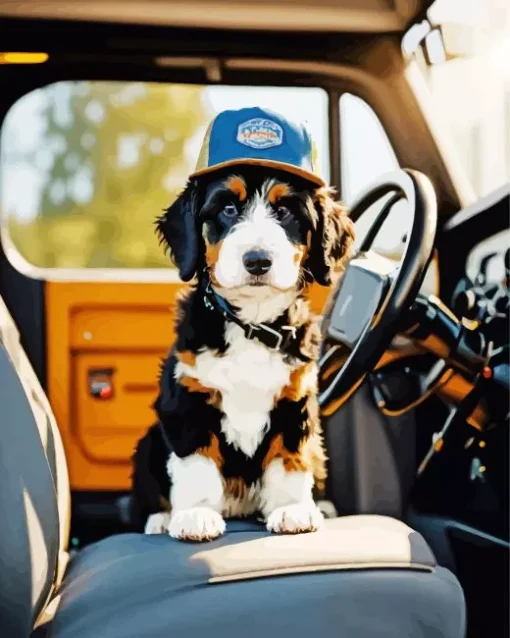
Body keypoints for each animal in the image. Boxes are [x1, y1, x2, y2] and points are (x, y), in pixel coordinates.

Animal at [131, 151, 352, 544]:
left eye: (285, 212)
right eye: (229, 209)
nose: (258, 261)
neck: (252, 324)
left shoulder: (294, 401)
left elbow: (291, 458)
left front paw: (292, 510)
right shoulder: (187, 400)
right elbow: (196, 461)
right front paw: (196, 516)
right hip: (147, 444)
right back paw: (160, 520)